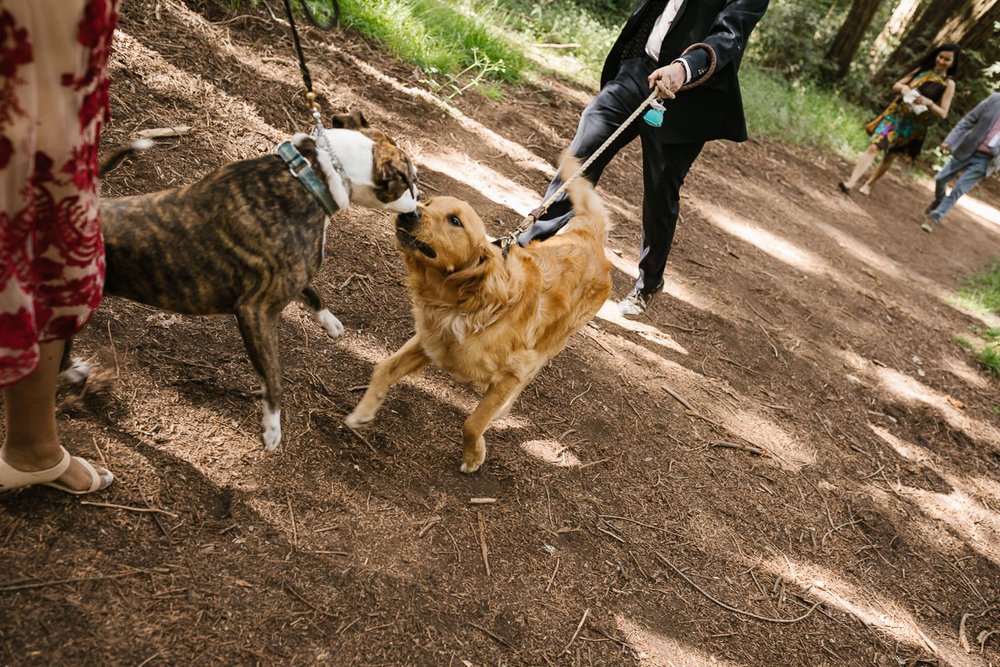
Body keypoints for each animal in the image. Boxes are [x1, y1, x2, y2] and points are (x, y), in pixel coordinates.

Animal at [84, 112, 416, 452]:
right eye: (409, 182)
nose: (416, 211)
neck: (315, 170)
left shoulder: (291, 277)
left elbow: (312, 293)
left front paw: (329, 320)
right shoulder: (256, 311)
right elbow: (274, 376)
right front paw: (272, 426)